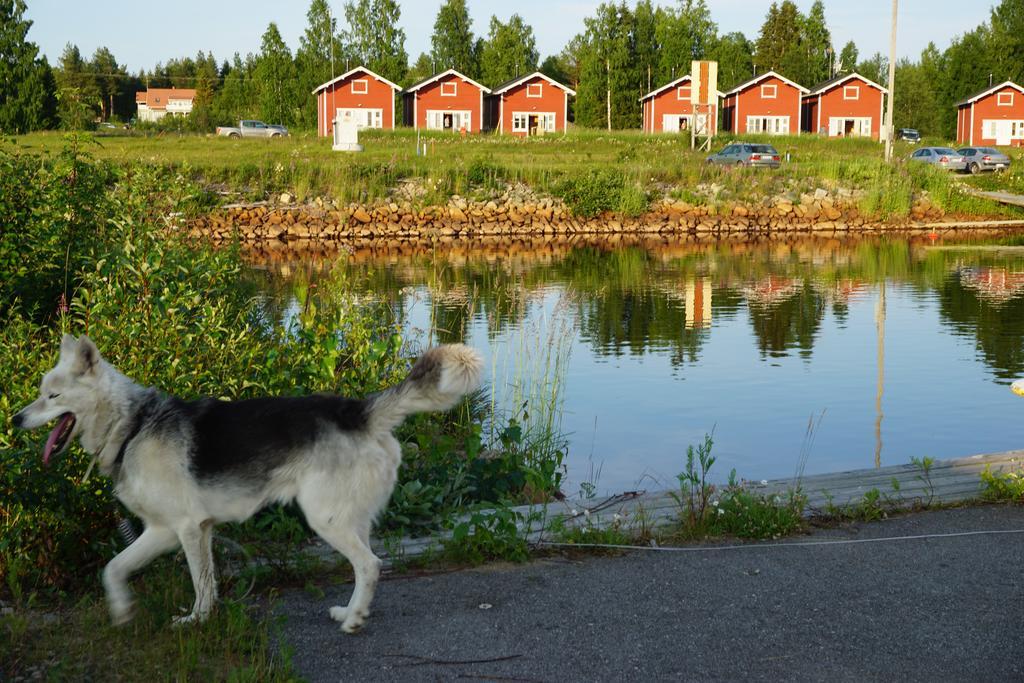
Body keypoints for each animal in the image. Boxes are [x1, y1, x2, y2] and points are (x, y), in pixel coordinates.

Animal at [12, 335, 483, 634]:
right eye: (40, 392)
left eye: (52, 397)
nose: (15, 419)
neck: (132, 424)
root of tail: (360, 411)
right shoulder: (167, 532)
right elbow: (115, 569)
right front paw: (123, 611)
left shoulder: (185, 529)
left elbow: (201, 585)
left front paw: (197, 623)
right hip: (350, 518)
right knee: (363, 567)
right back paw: (351, 611)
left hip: (326, 519)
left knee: (369, 565)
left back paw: (353, 621)